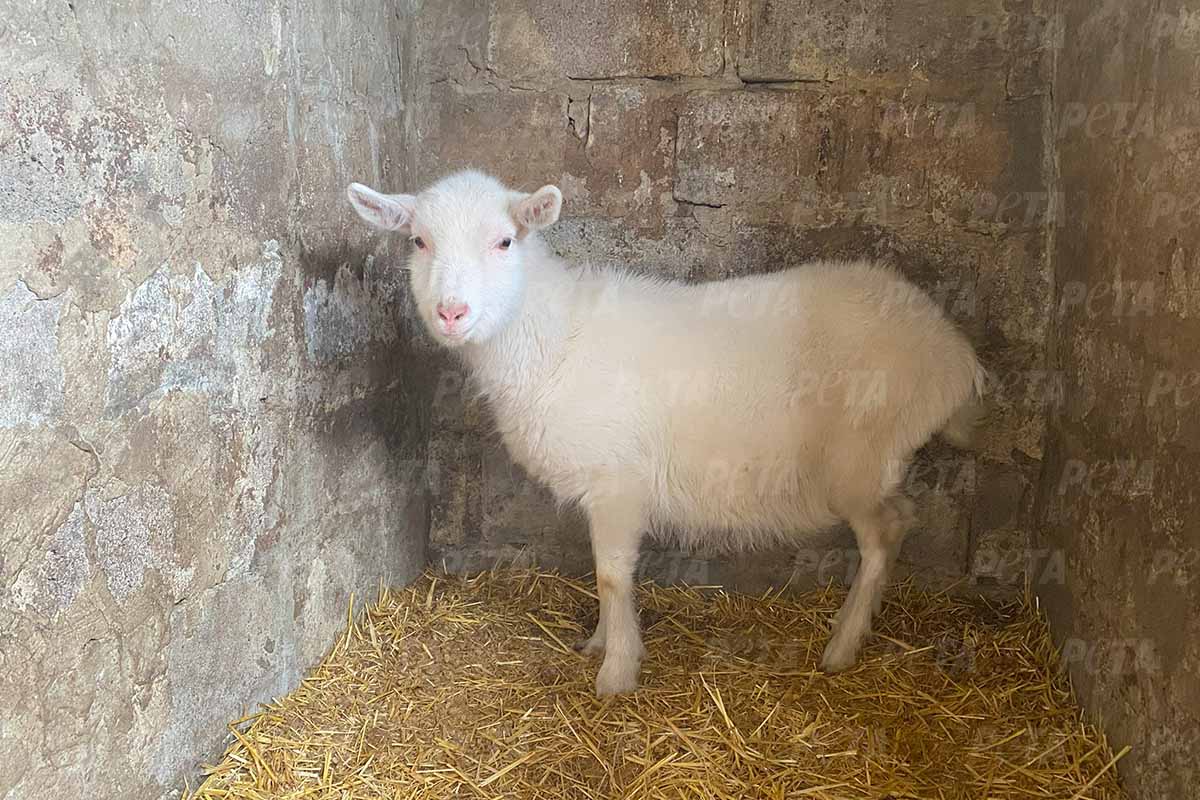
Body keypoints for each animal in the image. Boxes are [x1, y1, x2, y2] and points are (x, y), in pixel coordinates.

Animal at [345, 172, 984, 695]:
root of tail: (954, 356)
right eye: (418, 241)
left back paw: (842, 645)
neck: (552, 336)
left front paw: (617, 672)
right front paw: (600, 644)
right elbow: (604, 573)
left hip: (862, 458)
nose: (451, 313)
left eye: (504, 241)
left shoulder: (618, 484)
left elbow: (611, 576)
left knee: (886, 531)